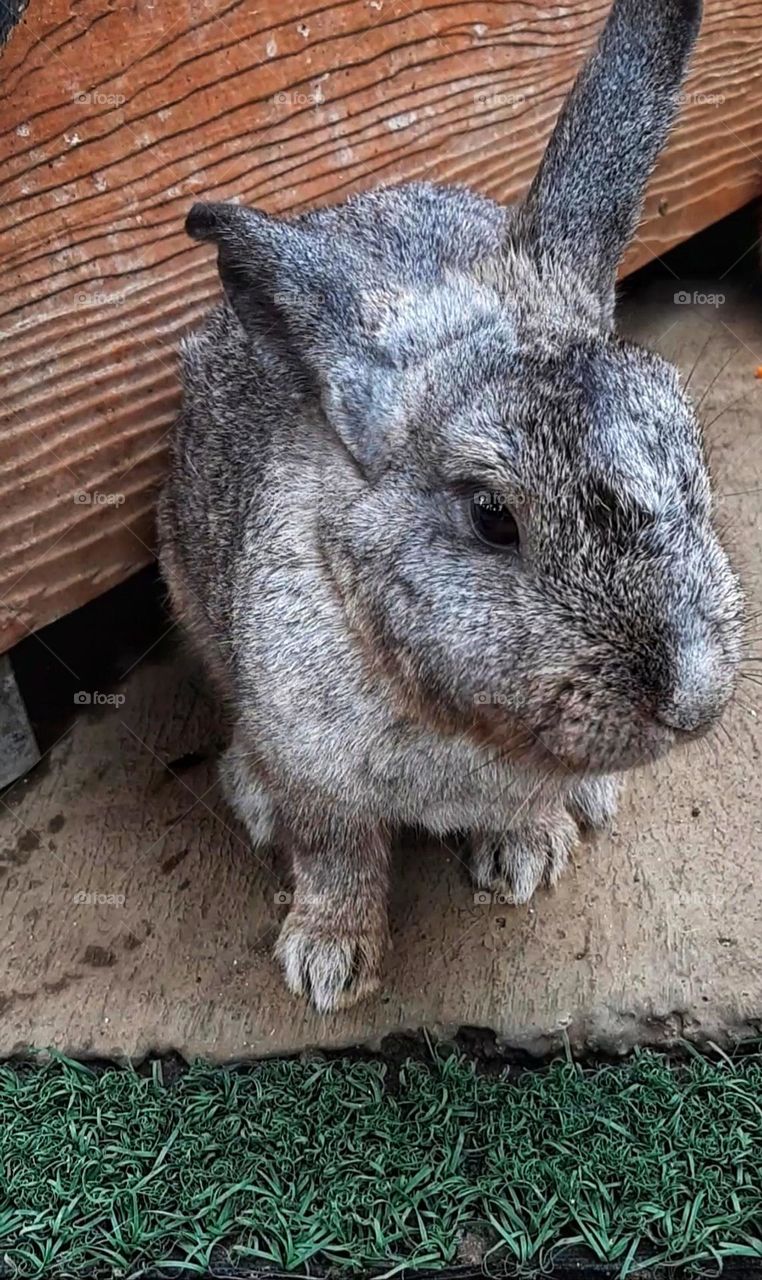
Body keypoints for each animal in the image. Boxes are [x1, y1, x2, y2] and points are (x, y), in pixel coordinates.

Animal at [158, 0, 743, 1012]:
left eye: (687, 451)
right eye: (491, 517)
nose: (694, 700)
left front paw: (526, 856)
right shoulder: (315, 769)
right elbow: (336, 857)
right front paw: (329, 965)